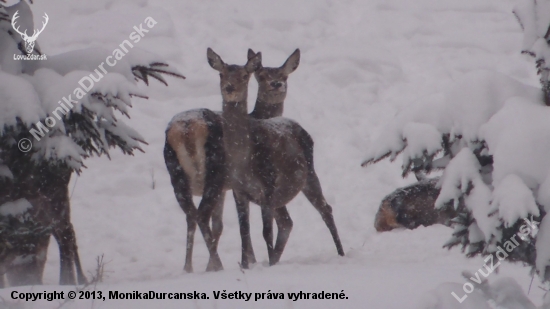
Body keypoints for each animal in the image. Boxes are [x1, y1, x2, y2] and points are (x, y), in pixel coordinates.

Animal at [165, 48, 302, 272]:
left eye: (284, 76)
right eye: (260, 76)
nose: (276, 85)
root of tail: (186, 128)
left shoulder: (226, 188)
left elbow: (220, 225)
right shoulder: (233, 184)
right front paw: (249, 260)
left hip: (176, 175)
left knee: (191, 215)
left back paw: (188, 267)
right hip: (214, 172)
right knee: (200, 214)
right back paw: (217, 264)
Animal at [206, 47, 344, 268]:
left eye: (245, 76)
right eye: (221, 74)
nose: (230, 88)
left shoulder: (268, 185)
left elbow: (265, 231)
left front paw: (261, 264)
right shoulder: (239, 190)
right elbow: (245, 231)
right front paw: (246, 265)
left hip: (308, 175)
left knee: (324, 209)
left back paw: (341, 253)